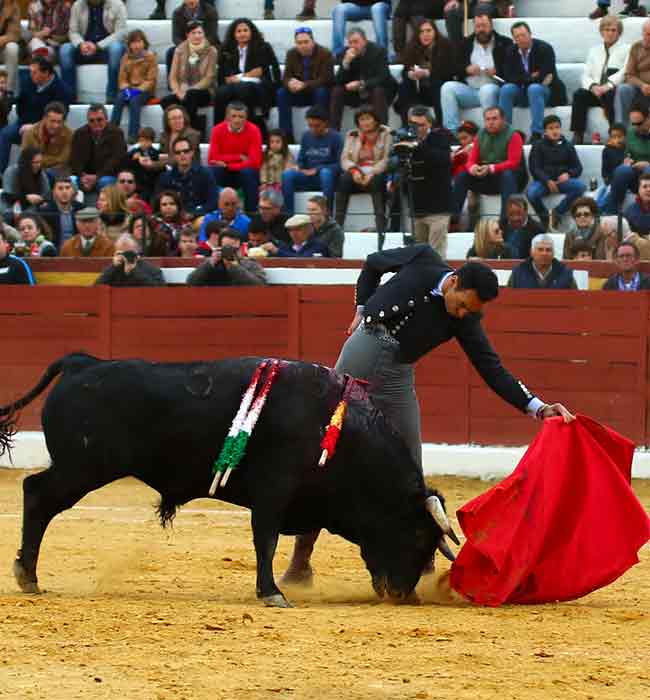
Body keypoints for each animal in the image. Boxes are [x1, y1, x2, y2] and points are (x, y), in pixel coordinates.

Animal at [0, 356, 456, 608]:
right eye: (419, 535)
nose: (405, 594)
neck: (337, 431)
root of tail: (83, 362)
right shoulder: (273, 493)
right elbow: (265, 540)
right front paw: (271, 593)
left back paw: (29, 575)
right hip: (82, 467)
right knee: (37, 494)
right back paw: (28, 576)